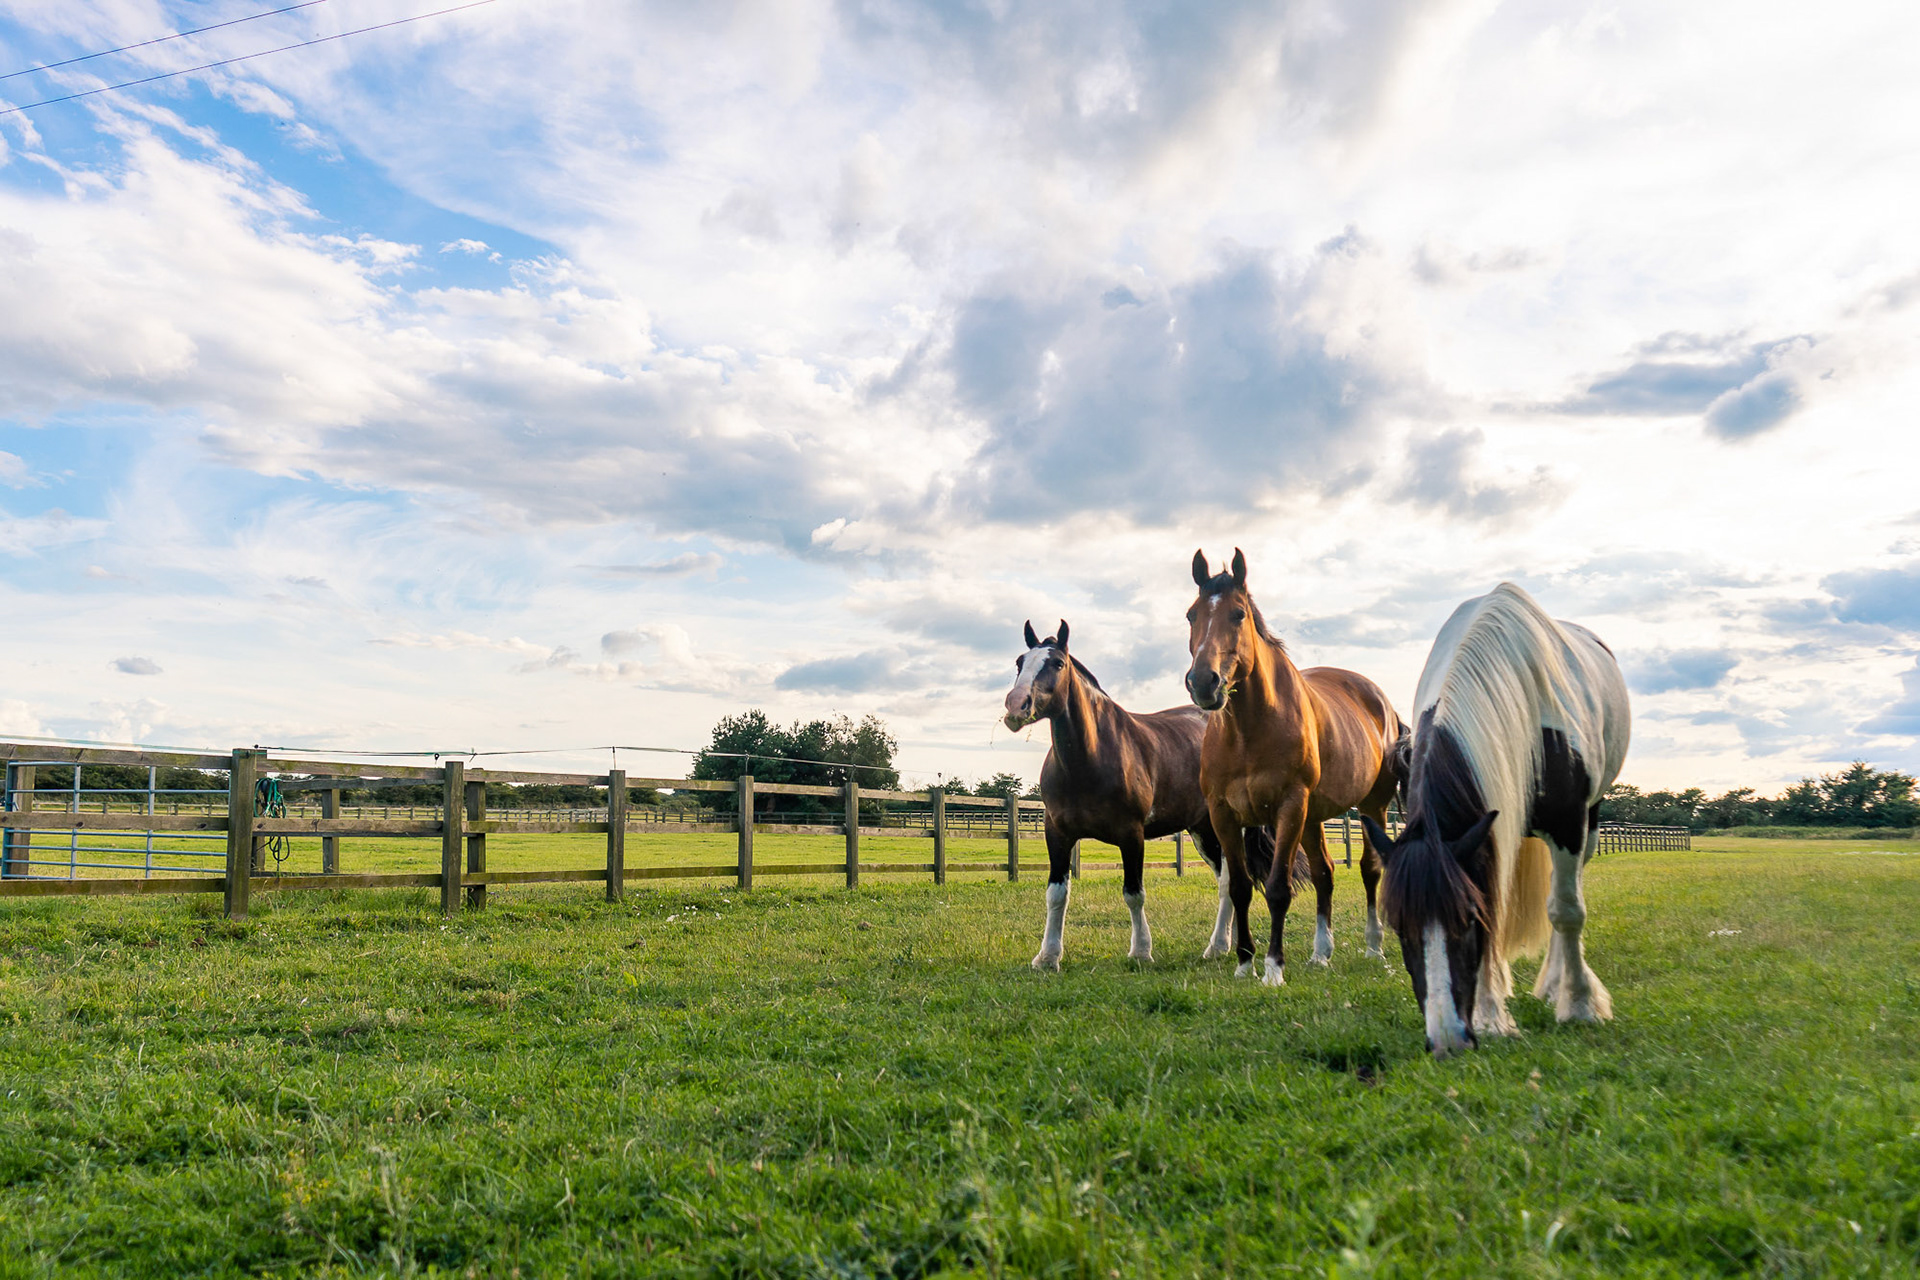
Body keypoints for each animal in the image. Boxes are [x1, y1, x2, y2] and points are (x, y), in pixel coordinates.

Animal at [998, 621, 1267, 971]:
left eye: (1057, 663)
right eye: (1020, 662)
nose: (1016, 706)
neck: (1091, 759)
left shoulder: (1131, 834)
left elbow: (1133, 892)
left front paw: (1141, 951)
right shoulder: (1057, 833)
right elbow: (1056, 894)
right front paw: (1047, 957)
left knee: (1230, 882)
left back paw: (1220, 946)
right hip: (1203, 831)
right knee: (1227, 880)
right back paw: (1220, 946)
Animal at [1175, 545, 1405, 990]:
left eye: (1238, 614)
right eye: (1192, 615)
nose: (1203, 682)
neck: (1249, 730)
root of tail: (1381, 701)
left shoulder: (1288, 807)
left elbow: (1278, 889)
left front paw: (1273, 968)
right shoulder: (1225, 815)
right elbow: (1241, 889)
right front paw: (1244, 963)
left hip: (1371, 808)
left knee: (1370, 869)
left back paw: (1374, 947)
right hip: (1314, 819)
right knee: (1325, 873)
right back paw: (1321, 954)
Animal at [1359, 587, 1628, 1059]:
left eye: (1466, 920)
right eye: (1398, 926)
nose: (1447, 1040)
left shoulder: (1568, 823)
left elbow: (1567, 911)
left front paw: (1579, 1005)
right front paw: (1490, 1015)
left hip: (1589, 822)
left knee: (1567, 897)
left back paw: (1556, 984)